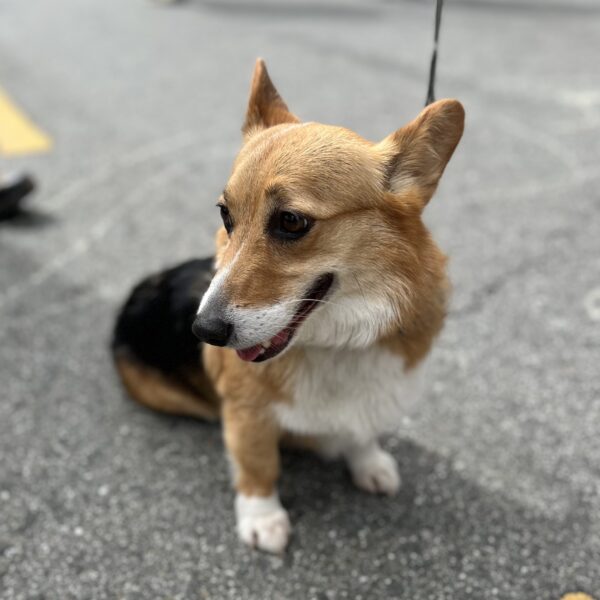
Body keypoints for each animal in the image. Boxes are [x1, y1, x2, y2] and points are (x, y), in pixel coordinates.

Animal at [112, 61, 464, 552]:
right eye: (225, 215)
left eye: (291, 221)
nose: (204, 332)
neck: (336, 343)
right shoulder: (247, 413)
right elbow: (258, 461)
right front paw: (263, 518)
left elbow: (361, 434)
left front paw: (369, 464)